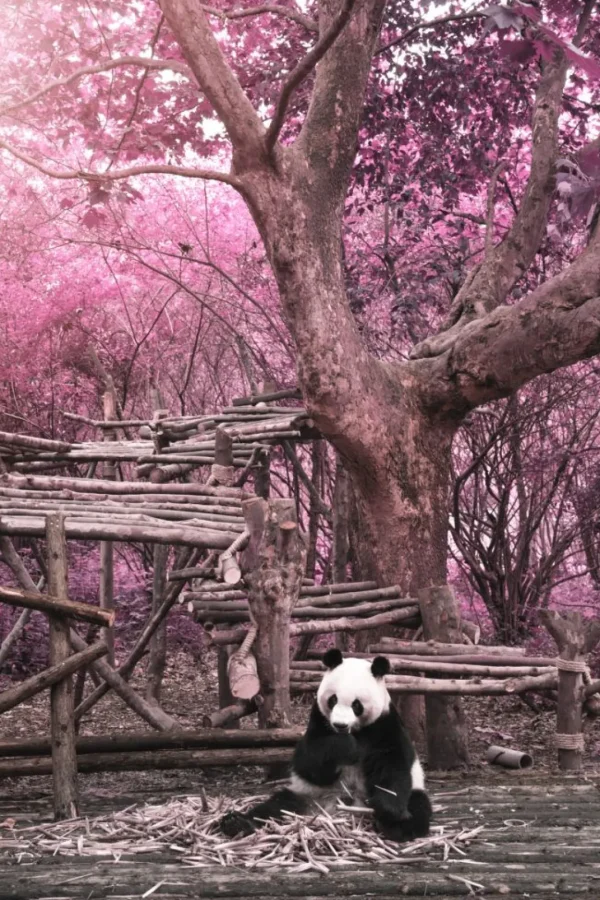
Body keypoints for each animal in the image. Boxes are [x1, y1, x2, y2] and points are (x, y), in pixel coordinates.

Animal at [219, 649, 432, 842]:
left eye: (357, 705)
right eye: (333, 699)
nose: (340, 725)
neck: (355, 732)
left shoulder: (385, 726)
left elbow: (392, 766)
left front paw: (389, 810)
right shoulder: (318, 723)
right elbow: (310, 762)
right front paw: (346, 747)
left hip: (411, 792)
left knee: (418, 805)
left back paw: (399, 827)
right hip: (306, 795)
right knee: (277, 807)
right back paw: (236, 822)